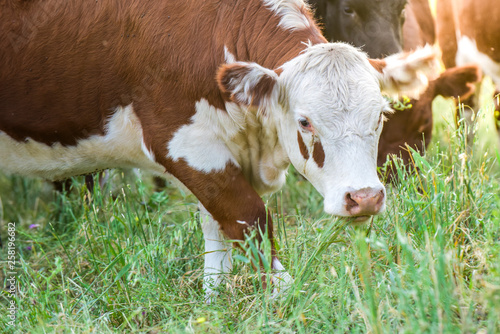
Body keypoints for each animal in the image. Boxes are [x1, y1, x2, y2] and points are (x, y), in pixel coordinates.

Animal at [0, 0, 436, 298]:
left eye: (380, 115)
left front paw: (215, 296)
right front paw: (283, 294)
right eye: (305, 121)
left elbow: (217, 225)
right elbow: (251, 219)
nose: (364, 198)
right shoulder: (181, 142)